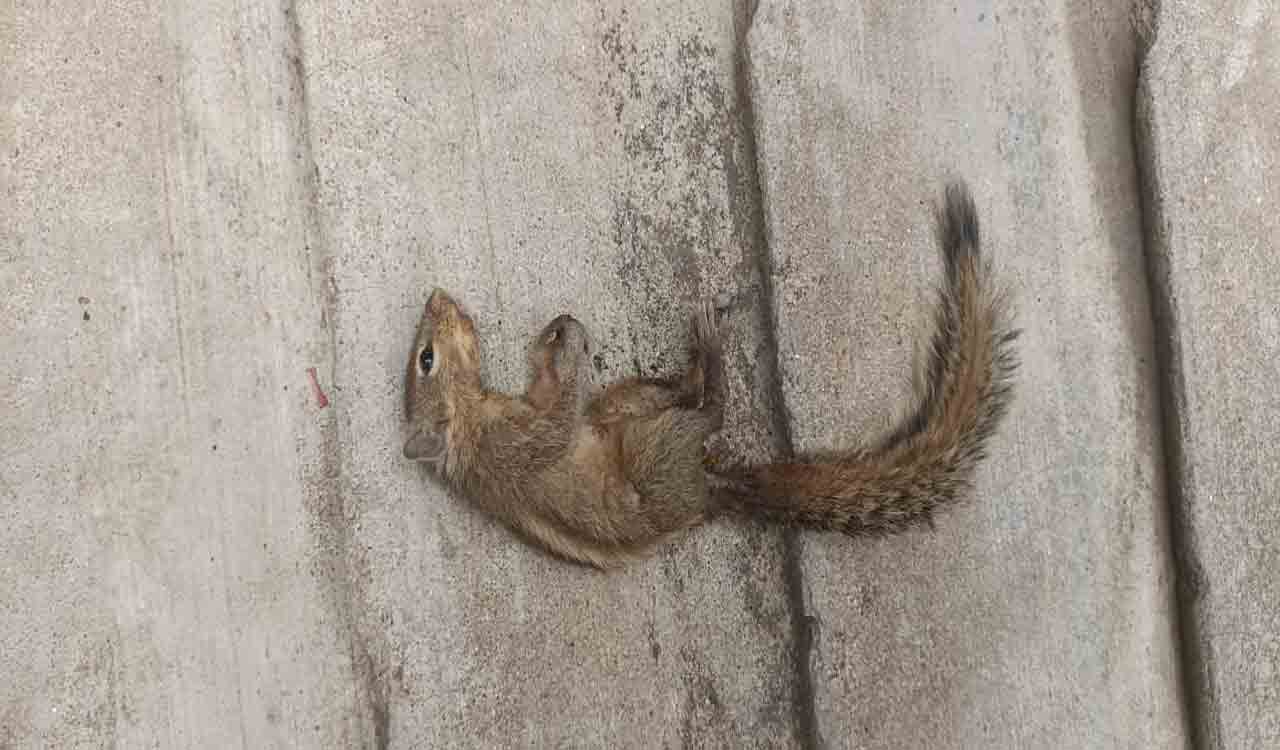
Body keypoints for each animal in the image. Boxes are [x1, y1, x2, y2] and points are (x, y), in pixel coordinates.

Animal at [402, 181, 1018, 568]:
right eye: (426, 359)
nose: (436, 297)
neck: (469, 428)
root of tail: (710, 488)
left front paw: (555, 337)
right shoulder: (519, 441)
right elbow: (556, 423)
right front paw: (568, 344)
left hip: (627, 410)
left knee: (671, 399)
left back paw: (690, 366)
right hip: (653, 448)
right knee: (714, 409)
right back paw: (710, 349)